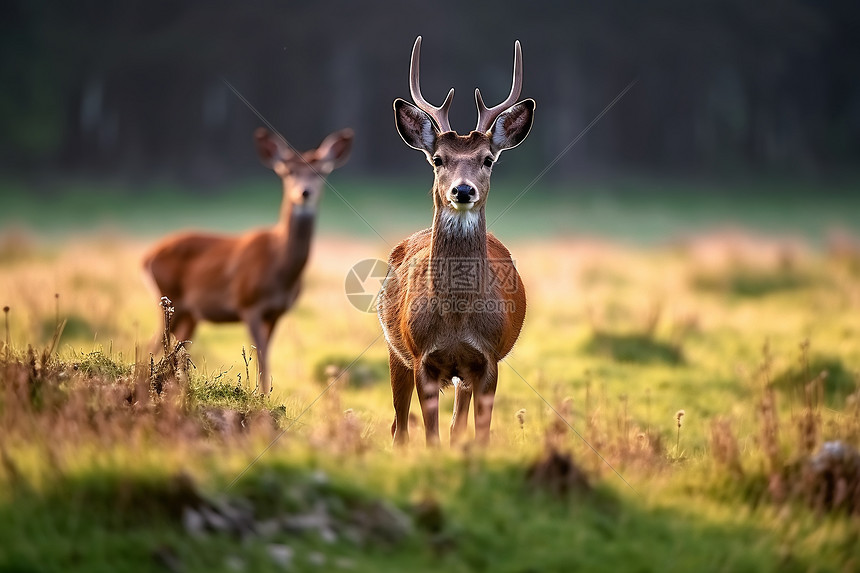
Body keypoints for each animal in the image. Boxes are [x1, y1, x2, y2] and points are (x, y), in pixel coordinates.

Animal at [144, 126, 352, 394]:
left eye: (322, 171)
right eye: (288, 171)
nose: (304, 192)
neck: (280, 267)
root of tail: (147, 256)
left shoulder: (276, 312)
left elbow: (266, 354)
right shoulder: (248, 304)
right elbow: (261, 356)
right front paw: (262, 396)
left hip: (189, 313)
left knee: (175, 349)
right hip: (170, 298)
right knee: (154, 343)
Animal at [380, 36, 536, 446]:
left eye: (487, 160)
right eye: (438, 159)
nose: (462, 190)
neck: (455, 319)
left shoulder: (488, 360)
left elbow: (475, 434)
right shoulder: (421, 357)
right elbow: (430, 436)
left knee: (454, 426)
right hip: (394, 350)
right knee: (399, 427)